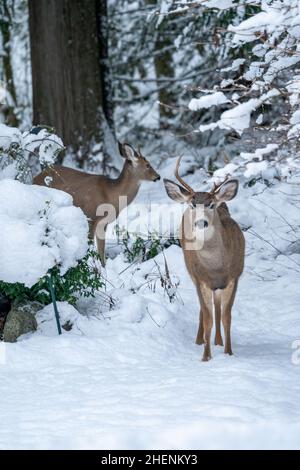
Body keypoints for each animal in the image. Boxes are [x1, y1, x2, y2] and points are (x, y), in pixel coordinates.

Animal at [164, 160, 244, 362]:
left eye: (211, 205)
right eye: (193, 205)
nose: (201, 223)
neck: (217, 268)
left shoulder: (234, 277)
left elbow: (226, 317)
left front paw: (228, 353)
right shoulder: (201, 279)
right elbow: (208, 319)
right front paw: (206, 357)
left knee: (216, 306)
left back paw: (218, 342)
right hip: (193, 274)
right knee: (204, 309)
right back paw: (201, 340)